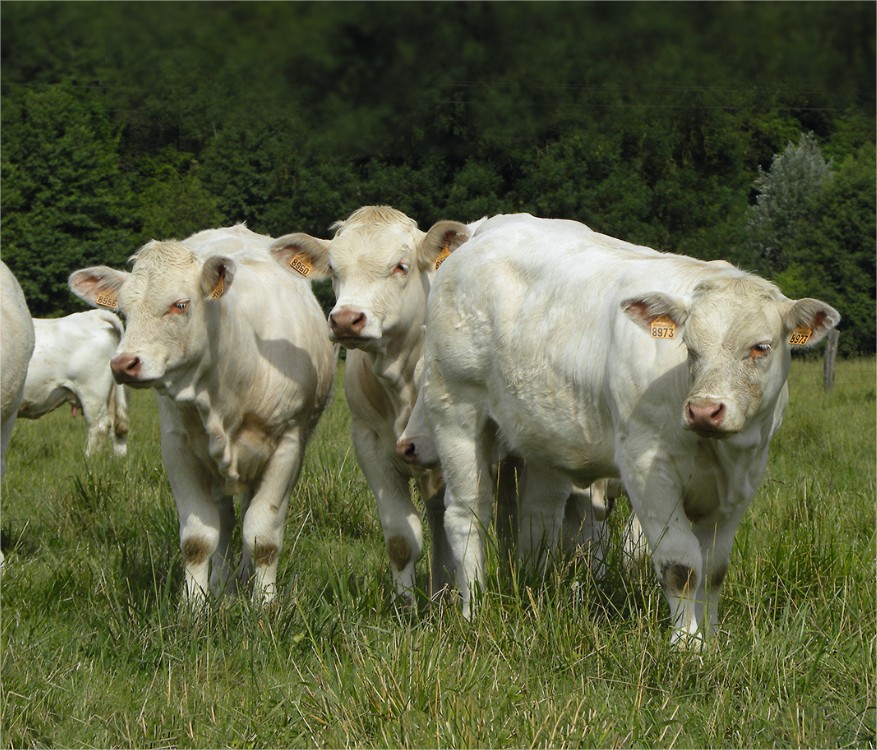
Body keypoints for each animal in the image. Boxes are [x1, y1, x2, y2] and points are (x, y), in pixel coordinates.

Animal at [19, 312, 129, 458]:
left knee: (99, 426)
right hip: (110, 395)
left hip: (92, 392)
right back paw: (118, 459)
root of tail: (94, 315)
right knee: (115, 428)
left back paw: (88, 459)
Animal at [67, 226, 336, 608]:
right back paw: (222, 585)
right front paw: (194, 606)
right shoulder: (178, 450)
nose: (123, 364)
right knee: (224, 520)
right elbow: (198, 538)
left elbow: (263, 536)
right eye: (124, 309)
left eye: (180, 304)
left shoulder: (287, 447)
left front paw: (265, 605)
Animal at [270, 206, 472, 604]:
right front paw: (407, 606)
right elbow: (401, 538)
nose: (346, 319)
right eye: (334, 269)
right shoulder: (370, 444)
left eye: (401, 266)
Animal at [420, 213, 840, 648]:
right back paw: (474, 611)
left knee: (536, 516)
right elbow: (681, 564)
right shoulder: (647, 466)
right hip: (455, 410)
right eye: (690, 347)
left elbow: (714, 568)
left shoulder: (744, 477)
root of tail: (486, 228)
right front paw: (686, 644)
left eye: (760, 347)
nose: (705, 410)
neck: (716, 450)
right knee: (467, 514)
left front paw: (710, 637)